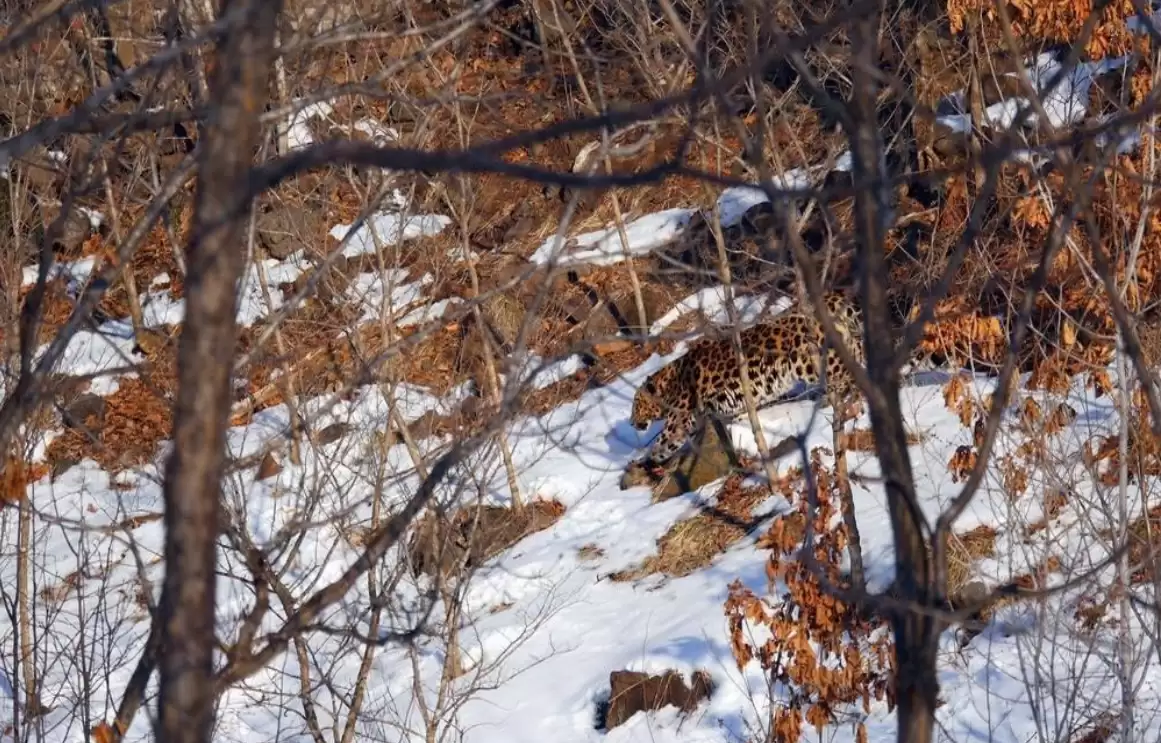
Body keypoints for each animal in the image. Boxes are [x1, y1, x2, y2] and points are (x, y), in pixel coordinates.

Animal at [631, 290, 868, 469]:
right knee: (858, 353)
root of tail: (830, 297)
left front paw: (646, 460)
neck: (667, 384)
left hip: (812, 361)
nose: (632, 423)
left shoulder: (678, 420)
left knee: (847, 372)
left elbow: (663, 442)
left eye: (636, 405)